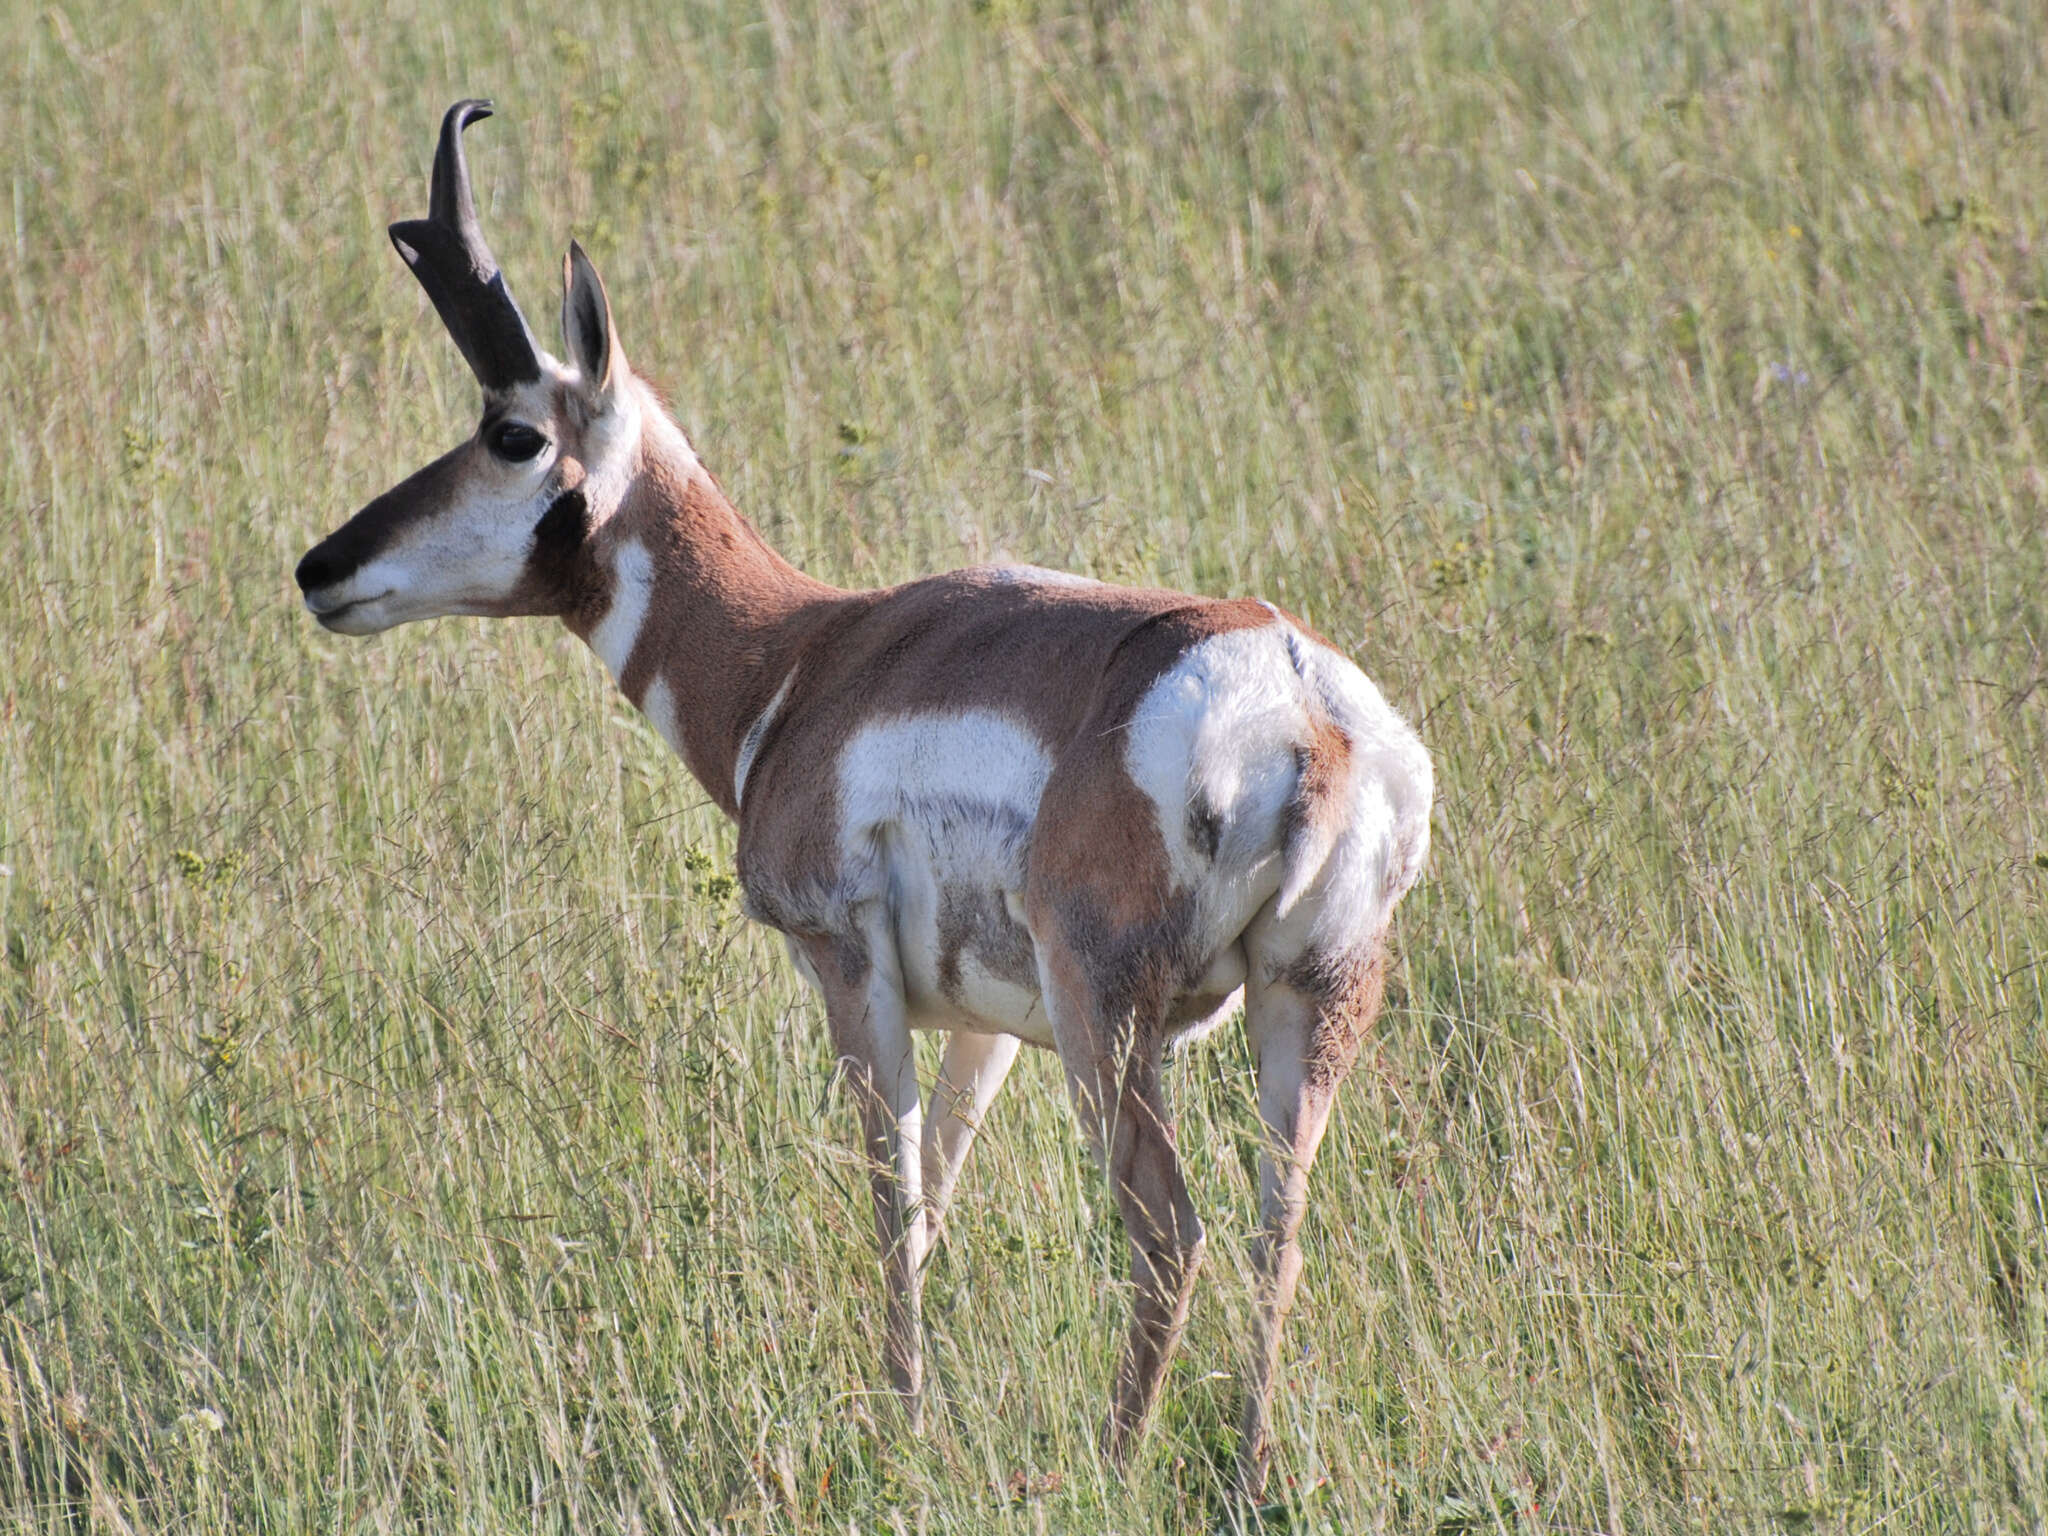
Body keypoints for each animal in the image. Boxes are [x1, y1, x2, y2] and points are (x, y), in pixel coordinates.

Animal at [296, 102, 1433, 1499]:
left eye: (510, 431)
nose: (322, 569)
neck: (804, 656)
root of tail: (1302, 711)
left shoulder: (852, 972)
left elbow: (889, 1205)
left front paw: (899, 1429)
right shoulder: (987, 1029)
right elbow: (936, 1197)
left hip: (1109, 1018)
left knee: (1169, 1232)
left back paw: (1114, 1463)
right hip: (1304, 1014)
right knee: (1280, 1228)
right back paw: (1241, 1473)